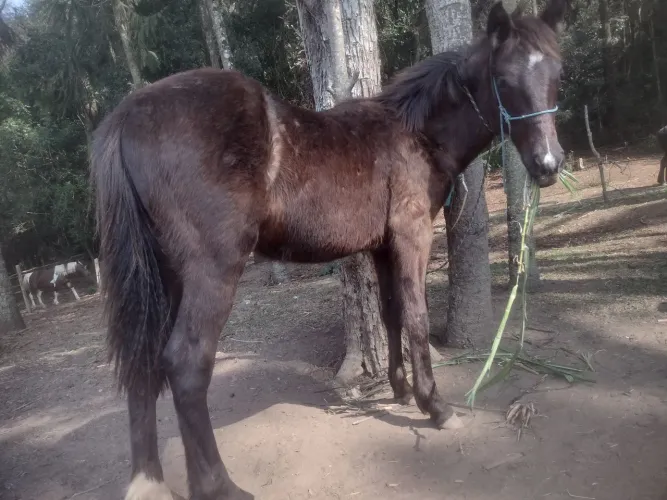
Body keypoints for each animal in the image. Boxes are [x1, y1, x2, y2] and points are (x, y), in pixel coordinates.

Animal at [91, 1, 568, 498]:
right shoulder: (412, 236)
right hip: (212, 270)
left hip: (160, 275)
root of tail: (127, 114)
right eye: (505, 79)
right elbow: (416, 317)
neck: (415, 135)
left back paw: (148, 481)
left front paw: (400, 390)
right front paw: (435, 405)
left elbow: (390, 314)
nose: (548, 164)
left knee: (143, 362)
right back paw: (218, 485)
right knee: (185, 364)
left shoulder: (381, 247)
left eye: (558, 72)